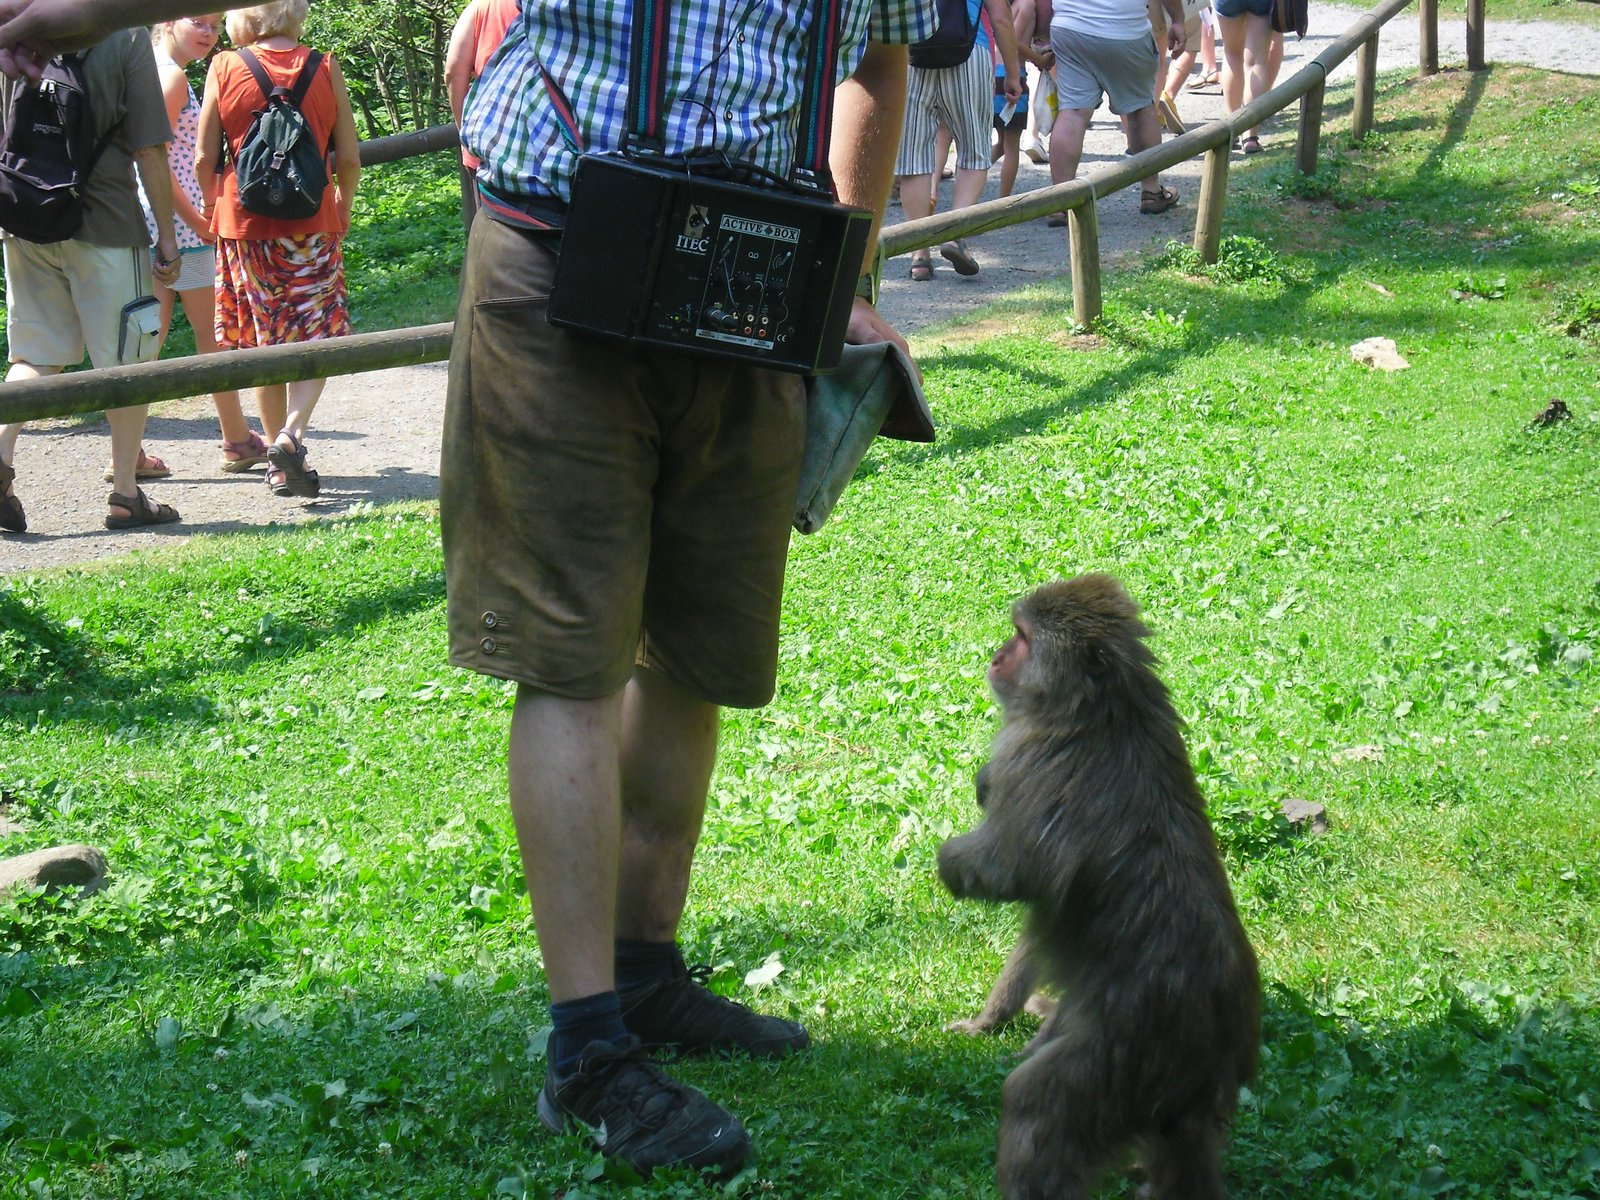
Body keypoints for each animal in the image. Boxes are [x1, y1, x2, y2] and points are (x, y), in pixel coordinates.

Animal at [934, 579, 1260, 1200]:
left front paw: (951, 861)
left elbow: (1007, 871)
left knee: (1038, 1104)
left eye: (1021, 638)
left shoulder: (1030, 763)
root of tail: (1209, 1057)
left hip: (1125, 1058)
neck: (1103, 709)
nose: (996, 655)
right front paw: (992, 1020)